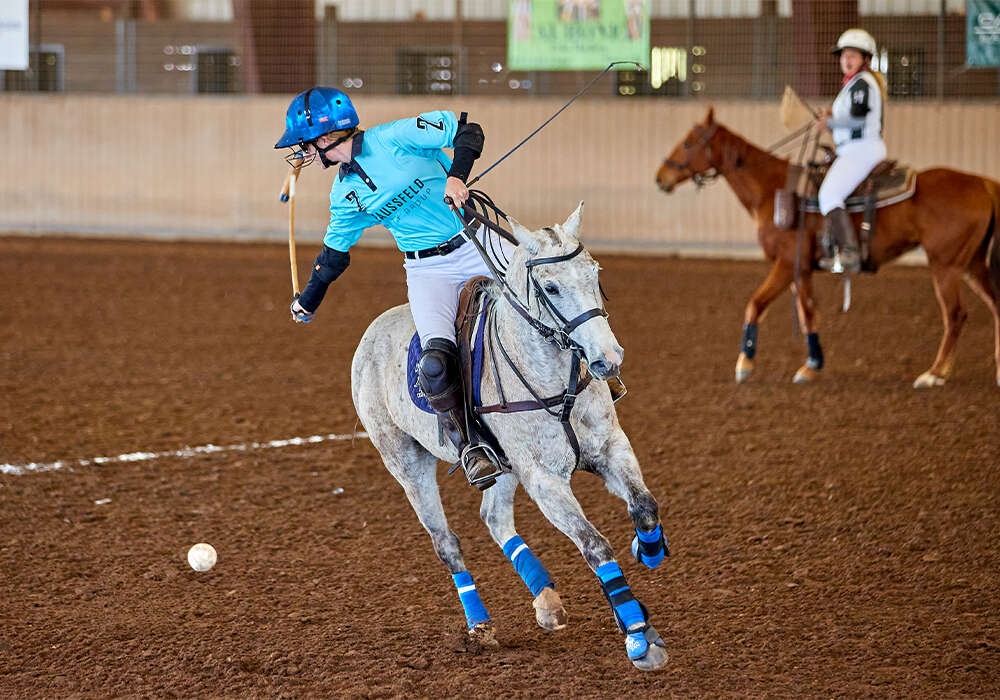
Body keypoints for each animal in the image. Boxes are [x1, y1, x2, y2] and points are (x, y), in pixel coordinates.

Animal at [352, 204, 672, 672]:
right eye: (551, 287)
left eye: (595, 273)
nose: (608, 359)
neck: (554, 383)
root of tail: (372, 330)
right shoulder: (544, 479)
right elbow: (595, 545)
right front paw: (638, 634)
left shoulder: (611, 447)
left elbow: (645, 508)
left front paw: (647, 549)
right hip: (405, 462)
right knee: (446, 543)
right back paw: (480, 625)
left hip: (503, 466)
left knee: (494, 517)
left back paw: (547, 603)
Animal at [656, 108, 1000, 388]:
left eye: (688, 143)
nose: (661, 178)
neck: (772, 189)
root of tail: (983, 184)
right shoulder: (802, 270)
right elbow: (808, 312)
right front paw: (811, 366)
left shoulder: (785, 264)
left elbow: (755, 304)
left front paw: (744, 364)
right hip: (973, 265)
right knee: (995, 306)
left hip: (946, 265)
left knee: (955, 315)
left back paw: (935, 373)